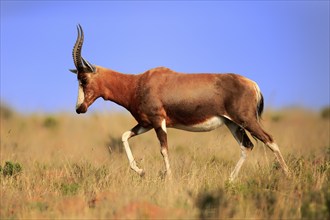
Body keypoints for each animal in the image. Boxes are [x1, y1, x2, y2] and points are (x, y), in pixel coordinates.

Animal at [69, 24, 288, 181]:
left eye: (84, 79)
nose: (80, 108)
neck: (138, 82)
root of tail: (252, 84)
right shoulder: (146, 123)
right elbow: (124, 136)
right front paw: (141, 171)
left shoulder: (158, 121)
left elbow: (164, 149)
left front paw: (169, 179)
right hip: (232, 123)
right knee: (247, 146)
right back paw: (230, 180)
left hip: (247, 120)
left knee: (270, 140)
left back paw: (288, 175)